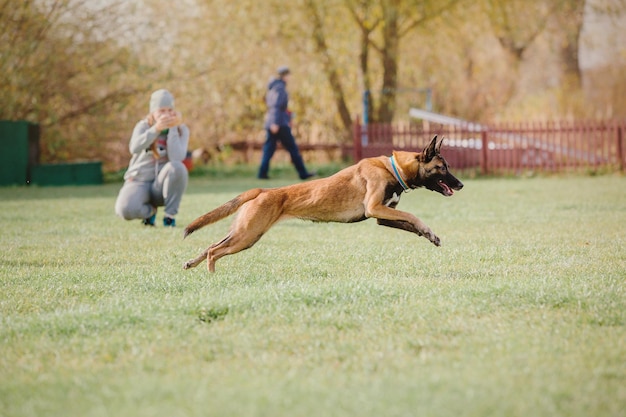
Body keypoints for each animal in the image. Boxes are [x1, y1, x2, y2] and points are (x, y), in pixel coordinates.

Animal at [183, 135, 460, 272]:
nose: (460, 185)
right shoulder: (375, 209)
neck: (393, 169)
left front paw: (429, 235)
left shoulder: (383, 216)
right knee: (214, 252)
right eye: (442, 167)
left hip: (242, 232)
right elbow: (412, 215)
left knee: (211, 245)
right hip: (247, 236)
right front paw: (428, 230)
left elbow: (411, 223)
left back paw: (191, 264)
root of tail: (263, 190)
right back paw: (212, 277)